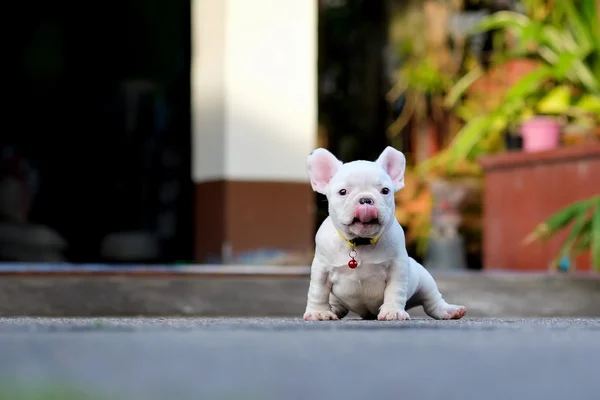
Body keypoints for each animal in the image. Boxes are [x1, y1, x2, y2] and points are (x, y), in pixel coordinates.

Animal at [302, 147, 466, 322]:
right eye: (343, 192)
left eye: (385, 191)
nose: (366, 199)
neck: (360, 242)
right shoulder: (321, 269)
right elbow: (318, 291)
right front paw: (319, 312)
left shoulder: (397, 268)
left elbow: (395, 290)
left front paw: (393, 311)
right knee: (335, 304)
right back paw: (332, 310)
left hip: (424, 279)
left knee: (432, 300)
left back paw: (449, 311)